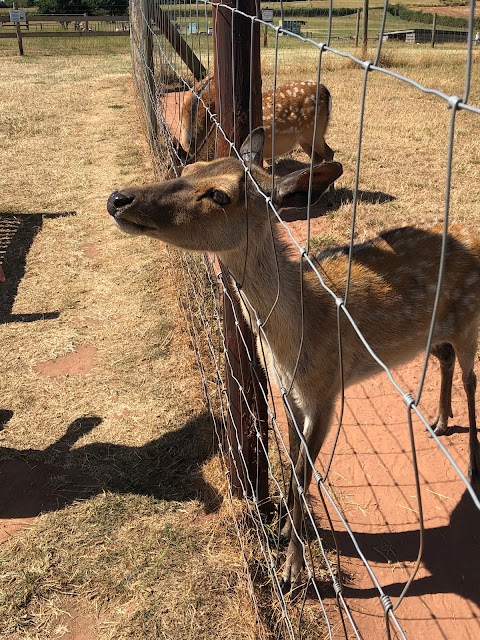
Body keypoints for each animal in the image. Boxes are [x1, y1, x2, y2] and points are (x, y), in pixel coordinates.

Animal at [108, 129, 480, 592]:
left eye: (220, 195)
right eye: (190, 167)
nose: (118, 198)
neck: (294, 338)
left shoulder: (327, 392)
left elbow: (306, 475)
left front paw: (292, 568)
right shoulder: (286, 391)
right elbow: (292, 464)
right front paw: (282, 528)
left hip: (470, 320)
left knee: (470, 376)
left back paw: (472, 457)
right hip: (432, 333)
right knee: (445, 357)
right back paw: (441, 420)